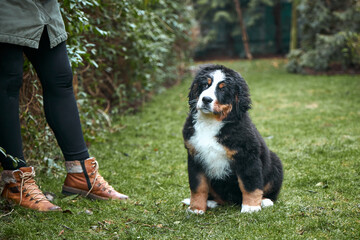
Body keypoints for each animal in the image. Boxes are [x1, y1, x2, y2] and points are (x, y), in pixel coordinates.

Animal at [183, 64, 284, 214]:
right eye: (205, 85)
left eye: (223, 89)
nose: (206, 99)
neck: (211, 122)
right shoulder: (195, 157)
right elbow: (198, 186)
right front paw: (196, 208)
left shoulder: (247, 157)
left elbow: (250, 184)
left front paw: (251, 207)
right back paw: (211, 202)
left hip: (275, 164)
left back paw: (265, 201)